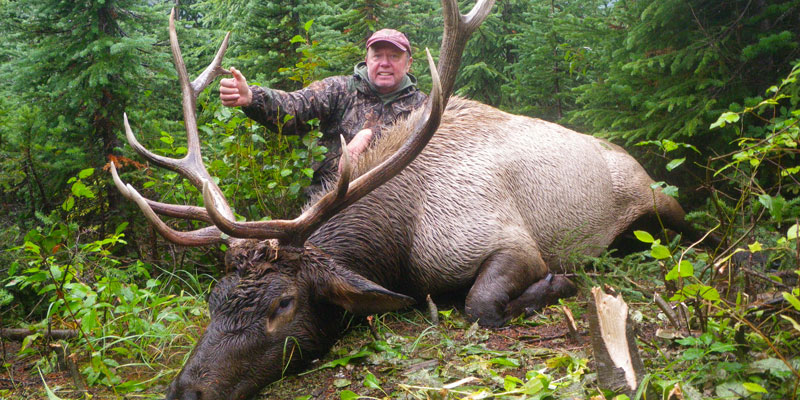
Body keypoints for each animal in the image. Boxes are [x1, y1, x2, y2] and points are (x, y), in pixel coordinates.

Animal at [110, 1, 698, 399]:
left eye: (283, 304)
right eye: (214, 300)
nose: (184, 391)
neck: (401, 240)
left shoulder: (512, 240)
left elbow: (481, 304)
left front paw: (560, 281)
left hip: (660, 202)